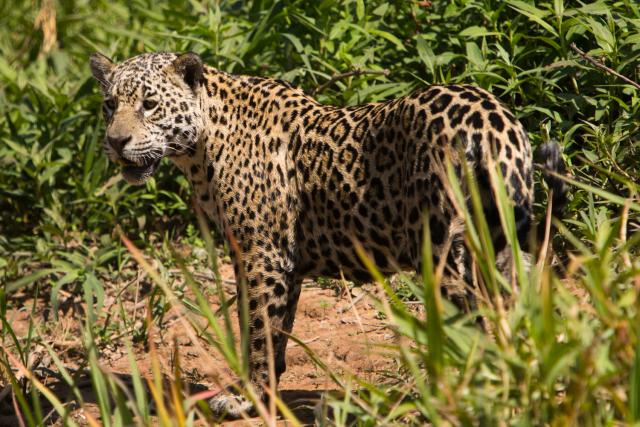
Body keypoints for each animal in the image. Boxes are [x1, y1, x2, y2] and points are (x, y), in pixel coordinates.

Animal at [90, 51, 567, 418]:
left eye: (150, 104)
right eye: (110, 105)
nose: (116, 141)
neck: (201, 148)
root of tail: (497, 124)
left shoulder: (260, 255)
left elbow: (257, 330)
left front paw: (248, 398)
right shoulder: (283, 262)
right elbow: (277, 328)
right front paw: (270, 388)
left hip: (447, 253)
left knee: (476, 327)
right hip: (503, 242)